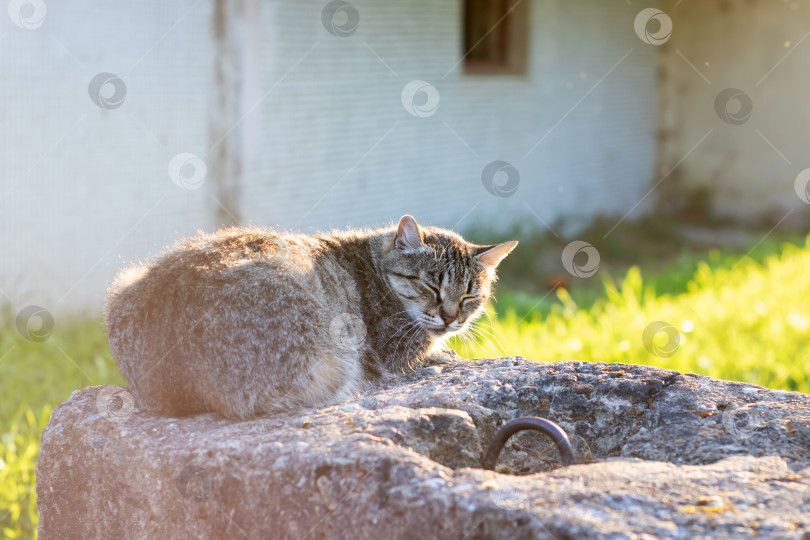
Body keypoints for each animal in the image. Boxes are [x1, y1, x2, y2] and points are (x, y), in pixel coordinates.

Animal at [104, 213, 516, 420]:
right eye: (431, 285)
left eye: (469, 296)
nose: (451, 319)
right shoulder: (393, 349)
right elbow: (426, 352)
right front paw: (443, 354)